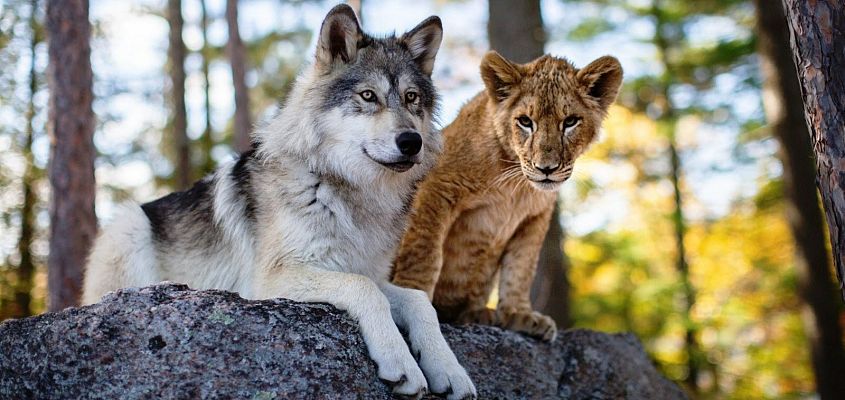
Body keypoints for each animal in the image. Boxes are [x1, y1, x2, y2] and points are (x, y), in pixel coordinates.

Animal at [82, 5, 476, 399]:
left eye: (411, 98)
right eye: (368, 96)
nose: (411, 142)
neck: (347, 190)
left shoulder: (367, 270)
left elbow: (419, 301)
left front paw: (449, 369)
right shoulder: (272, 280)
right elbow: (364, 290)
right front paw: (401, 362)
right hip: (128, 223)